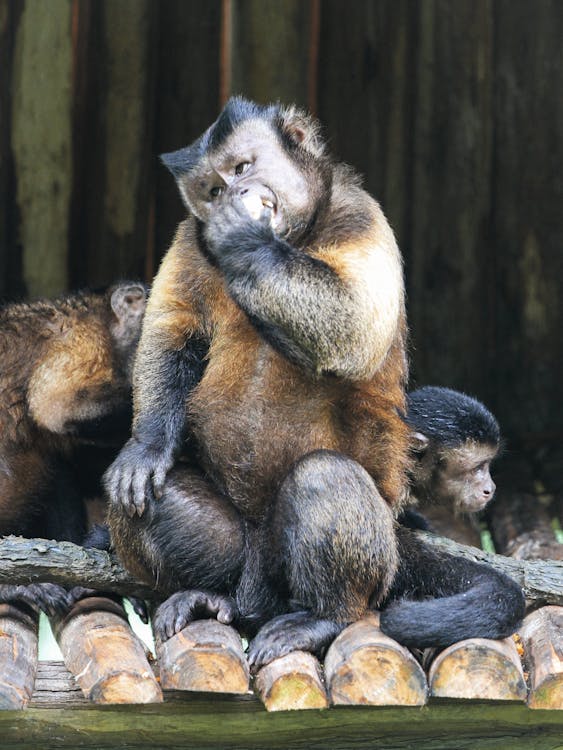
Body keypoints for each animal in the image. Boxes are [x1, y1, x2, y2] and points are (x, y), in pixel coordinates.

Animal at [102, 98, 524, 668]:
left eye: (242, 167)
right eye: (212, 189)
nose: (233, 193)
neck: (298, 236)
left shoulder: (361, 214)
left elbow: (354, 325)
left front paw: (246, 238)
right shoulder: (192, 235)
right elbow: (174, 330)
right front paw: (147, 446)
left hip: (360, 555)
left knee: (323, 476)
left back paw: (326, 616)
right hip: (240, 553)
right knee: (150, 502)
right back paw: (211, 596)